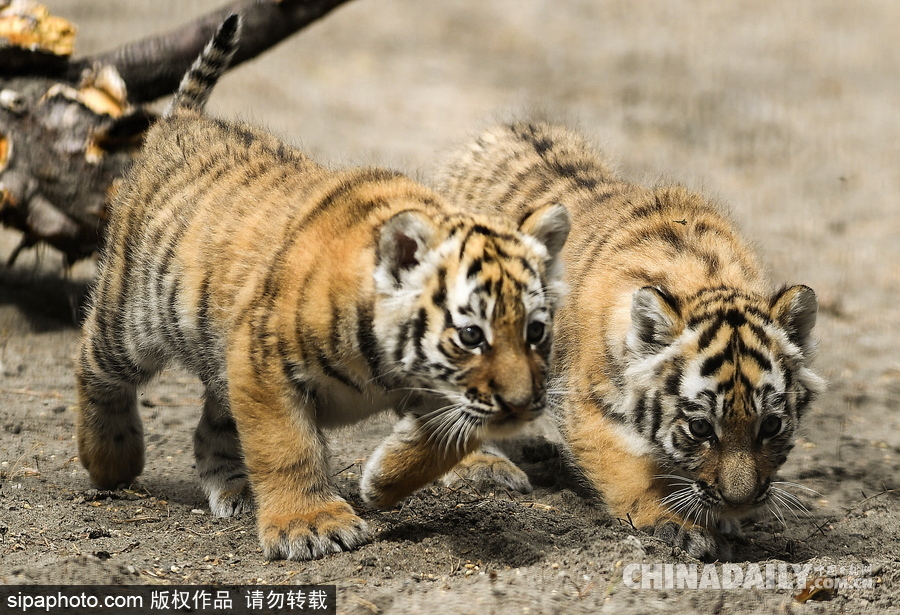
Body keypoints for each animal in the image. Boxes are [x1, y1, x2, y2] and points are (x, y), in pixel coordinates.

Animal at [74, 18, 571, 561]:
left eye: (535, 332)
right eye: (471, 336)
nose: (523, 406)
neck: (389, 366)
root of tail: (182, 121)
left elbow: (445, 439)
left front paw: (384, 483)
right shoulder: (262, 364)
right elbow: (287, 446)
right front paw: (310, 525)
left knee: (211, 426)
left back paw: (236, 490)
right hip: (133, 317)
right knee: (96, 366)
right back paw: (112, 461)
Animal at [434, 121, 825, 560]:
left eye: (772, 425)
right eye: (701, 429)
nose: (738, 502)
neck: (706, 281)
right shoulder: (585, 402)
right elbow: (627, 469)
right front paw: (674, 523)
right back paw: (483, 467)